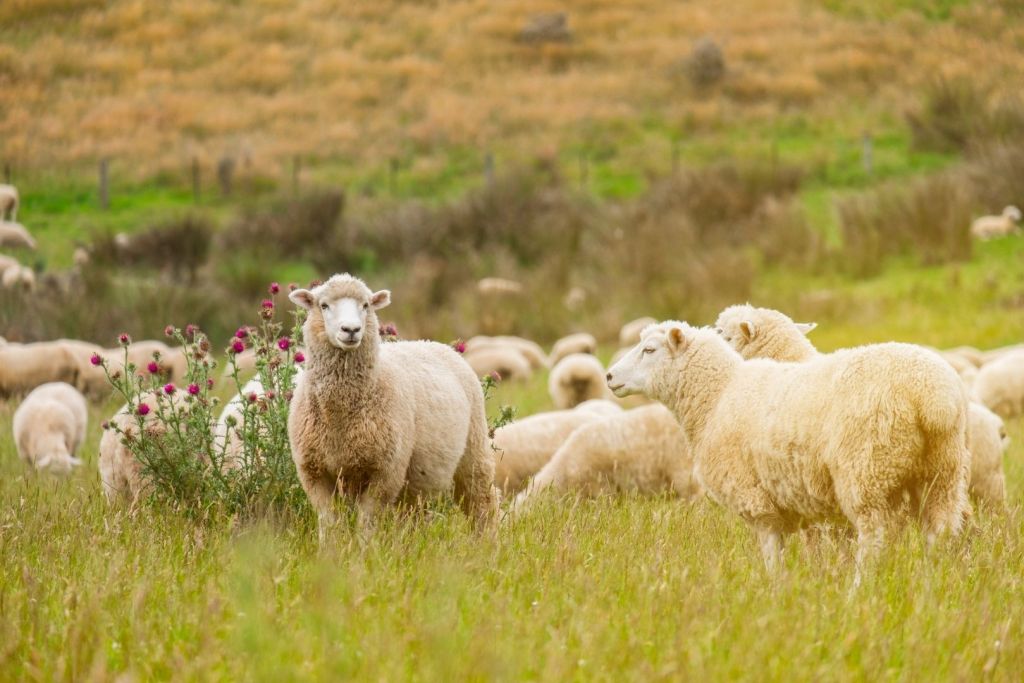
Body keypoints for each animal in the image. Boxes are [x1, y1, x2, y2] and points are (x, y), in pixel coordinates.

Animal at [286, 274, 497, 540]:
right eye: (323, 305)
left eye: (366, 305)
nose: (351, 330)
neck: (339, 418)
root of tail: (434, 343)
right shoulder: (314, 472)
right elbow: (330, 523)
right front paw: (330, 550)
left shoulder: (385, 472)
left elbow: (367, 522)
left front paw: (364, 549)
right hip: (417, 480)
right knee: (415, 515)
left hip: (473, 450)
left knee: (482, 500)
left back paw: (487, 541)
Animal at [606, 323, 966, 581]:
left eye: (649, 349)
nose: (609, 376)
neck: (718, 395)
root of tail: (932, 396)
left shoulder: (756, 500)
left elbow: (772, 555)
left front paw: (775, 594)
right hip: (942, 473)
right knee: (939, 536)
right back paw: (930, 591)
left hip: (867, 469)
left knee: (874, 539)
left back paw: (858, 594)